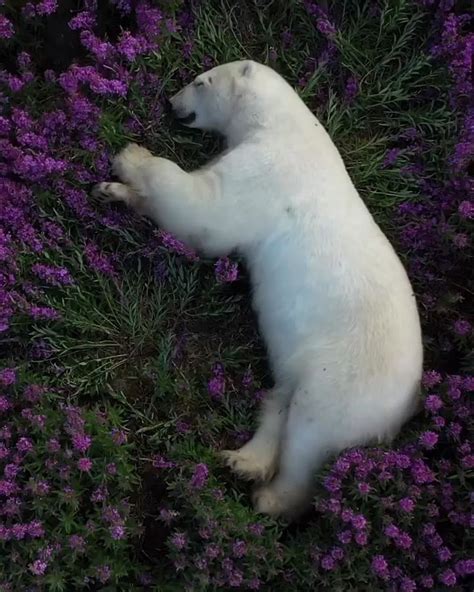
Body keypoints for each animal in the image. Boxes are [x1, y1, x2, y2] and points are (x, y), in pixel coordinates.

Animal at [92, 60, 422, 520]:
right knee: (279, 399)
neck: (284, 125)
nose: (171, 103)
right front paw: (111, 191)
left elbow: (205, 210)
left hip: (347, 381)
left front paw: (130, 157)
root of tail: (406, 408)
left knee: (309, 434)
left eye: (200, 81)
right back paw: (243, 460)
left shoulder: (266, 170)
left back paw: (270, 497)